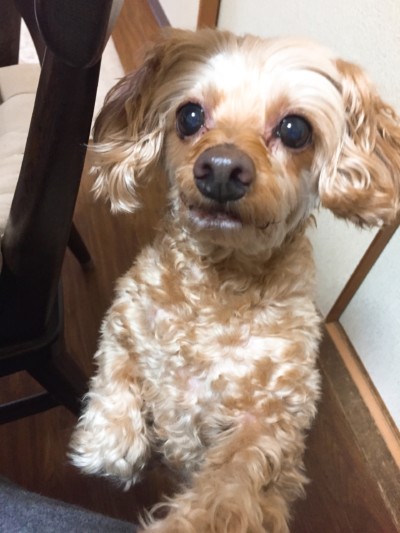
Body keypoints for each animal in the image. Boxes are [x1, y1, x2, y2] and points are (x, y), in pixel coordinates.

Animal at [70, 29, 400, 532]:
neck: (219, 283)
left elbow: (230, 489)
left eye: (295, 129)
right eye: (189, 116)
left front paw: (189, 521)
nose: (222, 168)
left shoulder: (271, 415)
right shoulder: (126, 318)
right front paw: (110, 442)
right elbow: (116, 370)